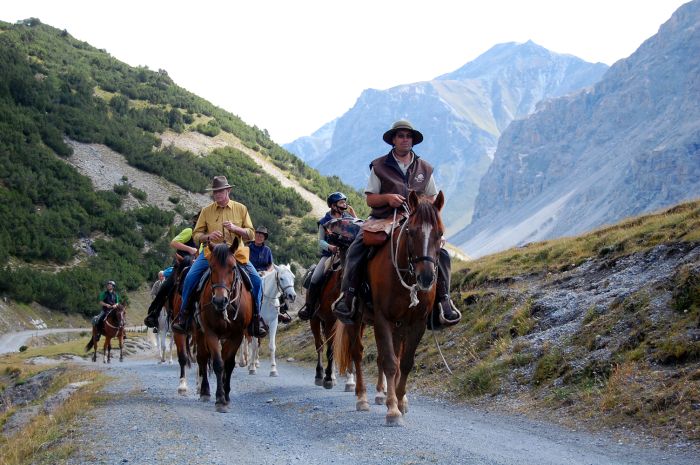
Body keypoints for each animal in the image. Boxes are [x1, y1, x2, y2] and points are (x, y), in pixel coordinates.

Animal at [194, 241, 254, 412]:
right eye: (211, 267)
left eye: (233, 267)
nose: (220, 300)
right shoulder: (210, 333)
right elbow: (218, 363)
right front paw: (220, 399)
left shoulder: (237, 334)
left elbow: (229, 364)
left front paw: (226, 396)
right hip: (198, 332)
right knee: (202, 358)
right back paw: (205, 392)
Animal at [334, 190, 442, 426]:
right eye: (411, 231)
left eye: (440, 233)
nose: (426, 278)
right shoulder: (383, 319)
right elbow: (391, 362)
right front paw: (393, 410)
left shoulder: (416, 323)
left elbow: (405, 362)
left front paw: (401, 401)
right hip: (357, 320)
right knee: (357, 354)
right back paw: (362, 397)